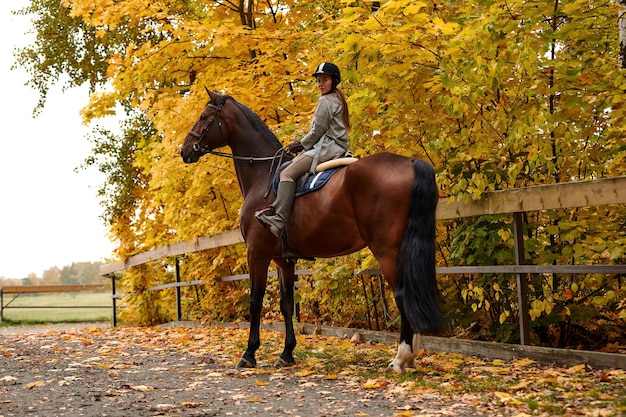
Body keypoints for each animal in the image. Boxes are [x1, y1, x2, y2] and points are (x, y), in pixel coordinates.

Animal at [180, 90, 444, 370]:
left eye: (204, 116)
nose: (184, 150)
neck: (263, 176)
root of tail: (410, 162)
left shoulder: (257, 254)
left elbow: (255, 301)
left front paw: (249, 353)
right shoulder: (283, 259)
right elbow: (286, 304)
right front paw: (286, 353)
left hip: (386, 251)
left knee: (403, 294)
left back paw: (400, 357)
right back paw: (411, 356)